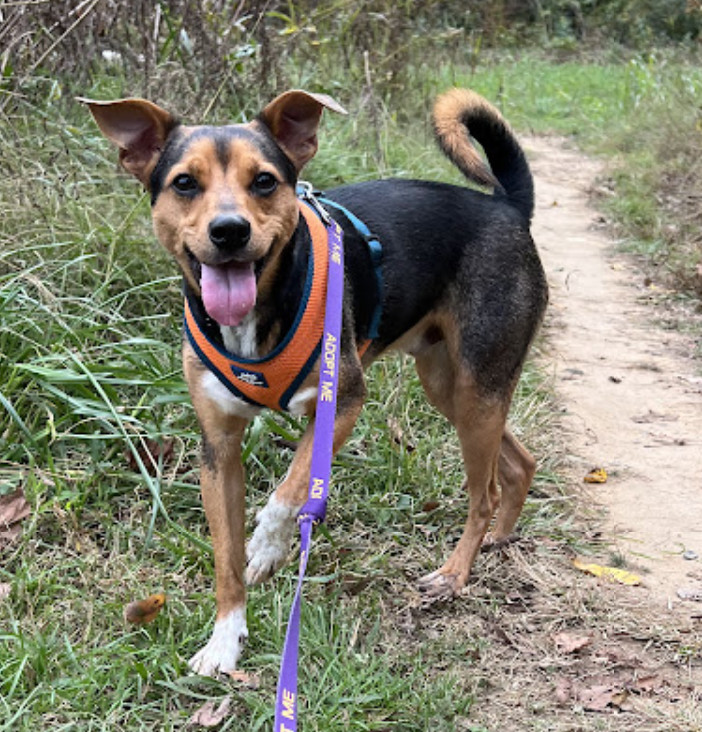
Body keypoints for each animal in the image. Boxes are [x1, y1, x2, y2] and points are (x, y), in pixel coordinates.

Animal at [84, 88, 552, 676]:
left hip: (478, 387)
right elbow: (225, 557)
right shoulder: (218, 447)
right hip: (451, 388)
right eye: (184, 183)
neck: (256, 320)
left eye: (264, 181)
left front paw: (267, 548)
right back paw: (501, 539)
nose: (229, 231)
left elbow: (288, 491)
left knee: (484, 492)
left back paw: (454, 573)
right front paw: (225, 637)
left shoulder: (341, 405)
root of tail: (508, 206)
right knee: (519, 463)